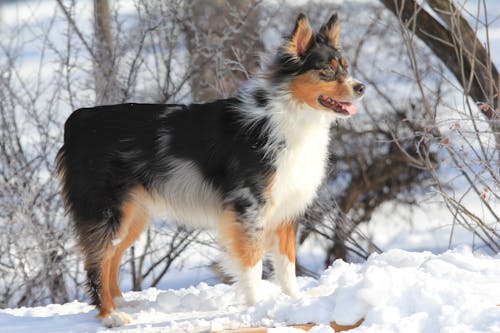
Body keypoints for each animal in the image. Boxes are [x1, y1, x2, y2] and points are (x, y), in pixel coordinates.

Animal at [56, 12, 366, 324]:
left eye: (345, 66)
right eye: (327, 69)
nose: (361, 88)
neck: (289, 113)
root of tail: (78, 119)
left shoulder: (286, 210)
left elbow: (287, 265)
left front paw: (295, 301)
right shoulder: (249, 209)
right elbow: (253, 264)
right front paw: (256, 306)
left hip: (134, 215)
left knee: (112, 257)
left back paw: (122, 303)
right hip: (109, 211)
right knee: (96, 261)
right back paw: (110, 315)